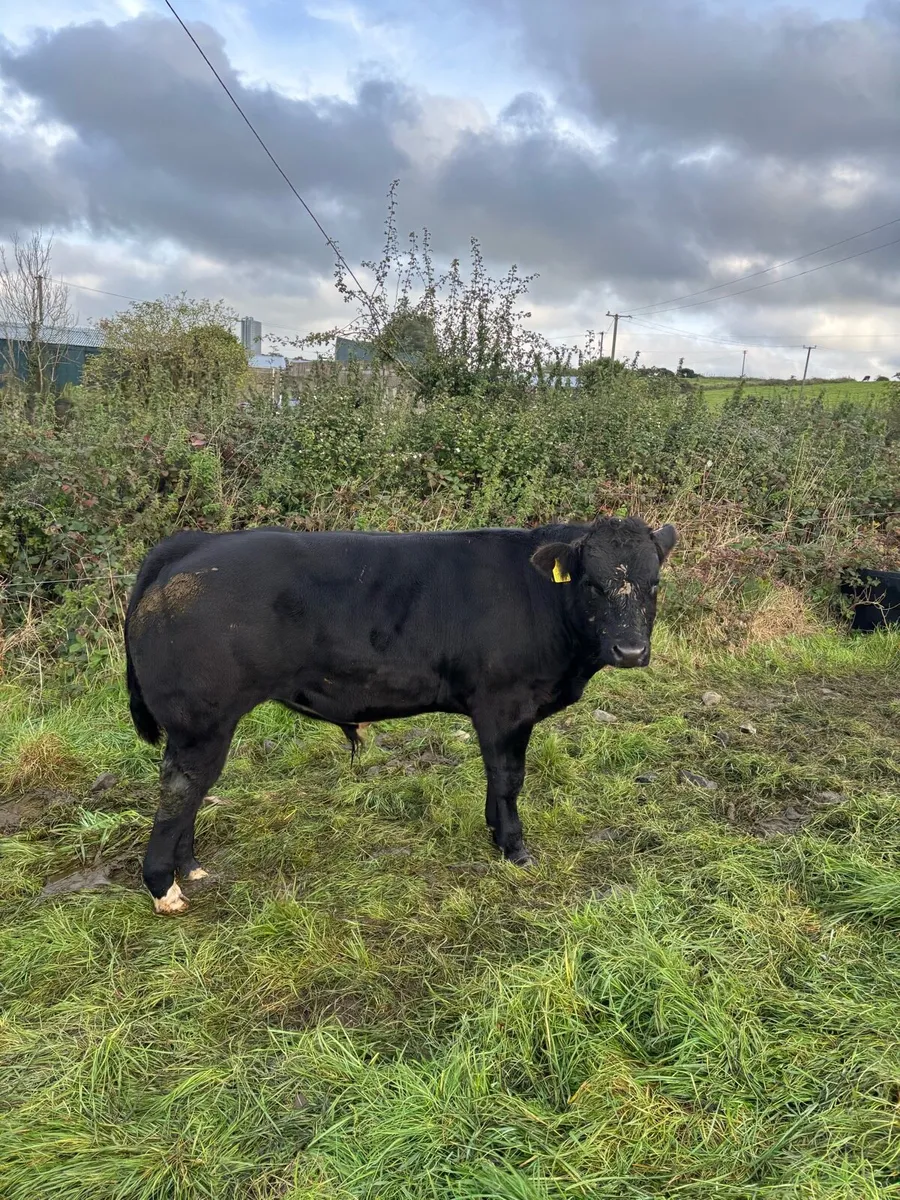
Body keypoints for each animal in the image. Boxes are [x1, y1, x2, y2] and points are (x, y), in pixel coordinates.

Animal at [125, 516, 677, 914]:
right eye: (593, 584)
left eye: (653, 583)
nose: (631, 651)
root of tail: (193, 543)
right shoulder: (505, 704)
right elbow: (508, 777)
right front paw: (514, 848)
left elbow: (493, 777)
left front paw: (493, 833)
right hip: (202, 720)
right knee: (181, 785)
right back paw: (164, 886)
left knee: (191, 788)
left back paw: (190, 867)